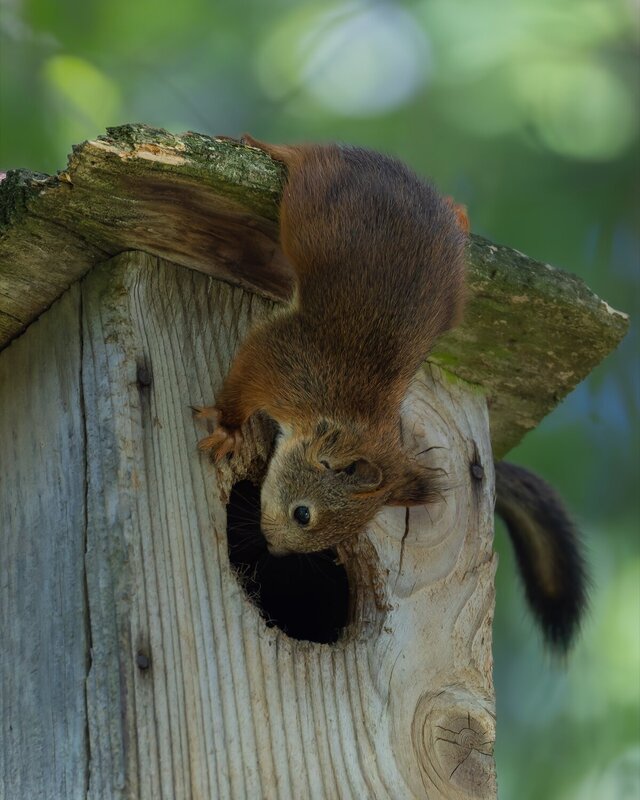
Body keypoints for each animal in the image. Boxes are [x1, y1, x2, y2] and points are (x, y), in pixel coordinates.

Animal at [195, 136, 588, 653]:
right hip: (318, 196)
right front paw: (226, 426)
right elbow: (243, 381)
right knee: (309, 155)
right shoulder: (283, 363)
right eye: (304, 514)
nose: (276, 549)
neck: (340, 415)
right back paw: (266, 146)